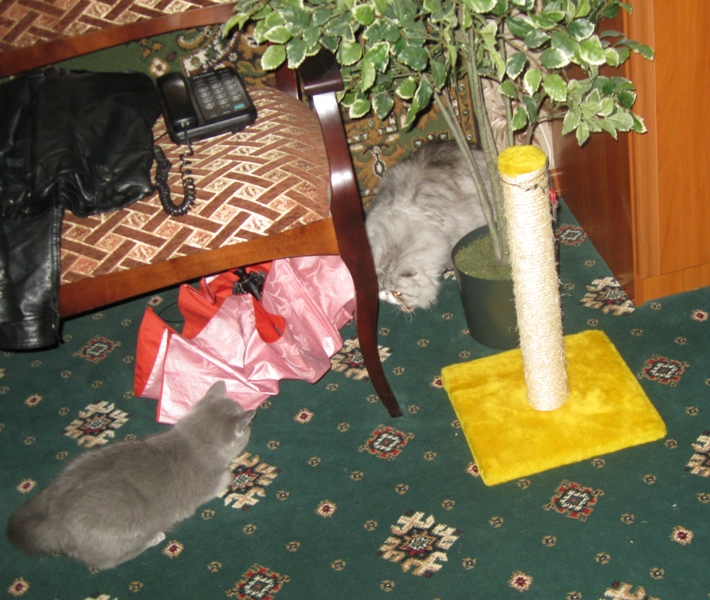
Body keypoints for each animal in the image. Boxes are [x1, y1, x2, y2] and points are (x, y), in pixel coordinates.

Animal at [6, 381, 255, 570]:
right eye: (247, 430)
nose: (251, 429)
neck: (191, 441)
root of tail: (53, 521)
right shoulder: (213, 482)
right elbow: (226, 476)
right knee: (106, 561)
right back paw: (153, 538)